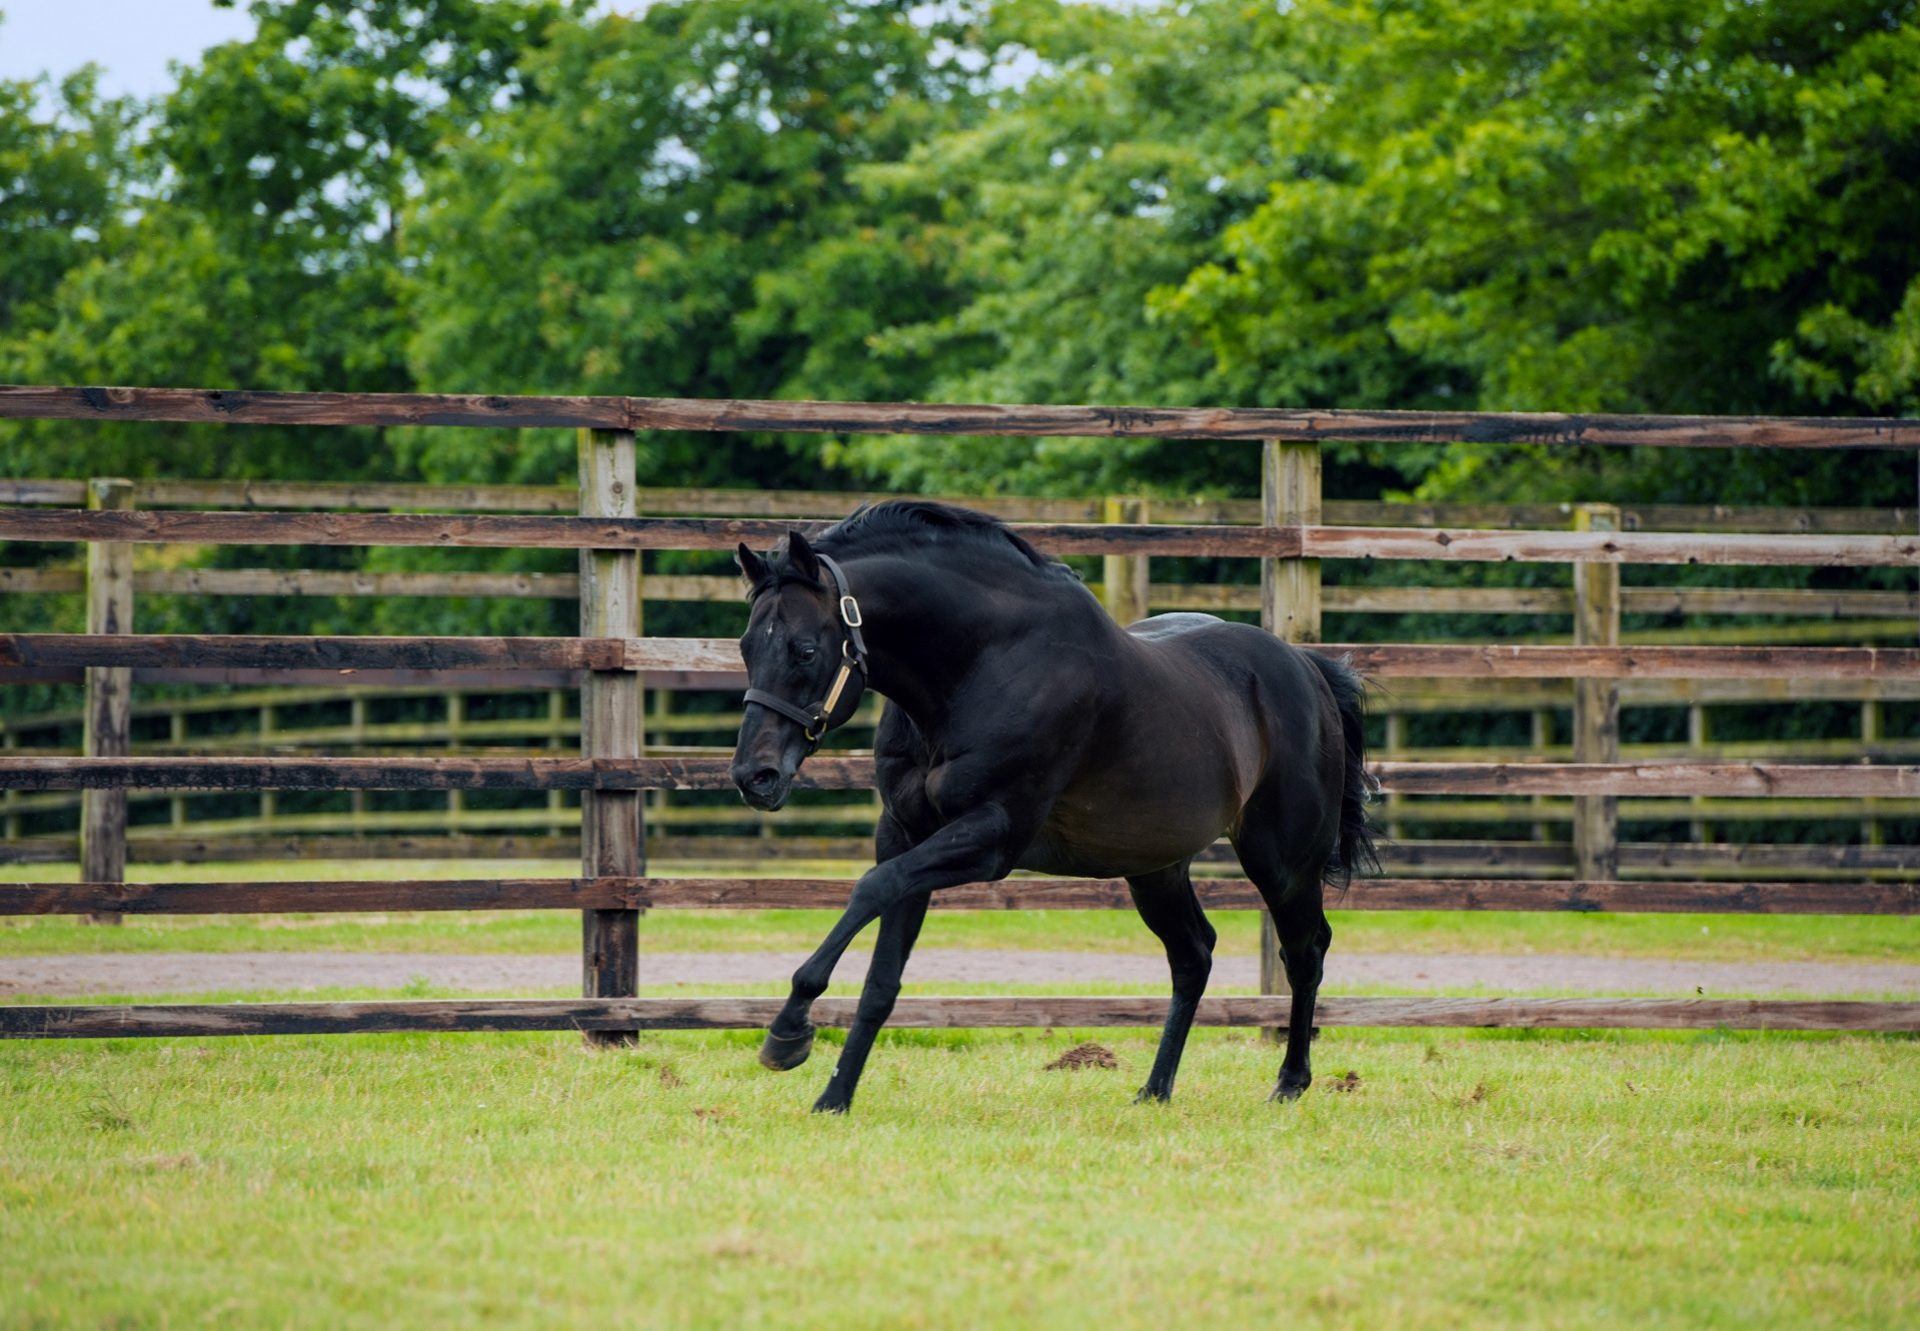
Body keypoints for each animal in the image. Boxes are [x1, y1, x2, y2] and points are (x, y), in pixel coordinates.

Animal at [725, 499, 1374, 1113]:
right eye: (745, 646)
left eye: (805, 650)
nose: (755, 777)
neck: (981, 666)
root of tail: (1306, 668)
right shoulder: (904, 835)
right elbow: (883, 977)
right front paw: (833, 1097)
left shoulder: (993, 837)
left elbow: (869, 889)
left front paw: (787, 1032)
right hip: (1155, 869)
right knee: (1194, 956)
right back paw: (1154, 1090)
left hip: (1282, 863)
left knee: (1305, 952)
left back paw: (1289, 1082)